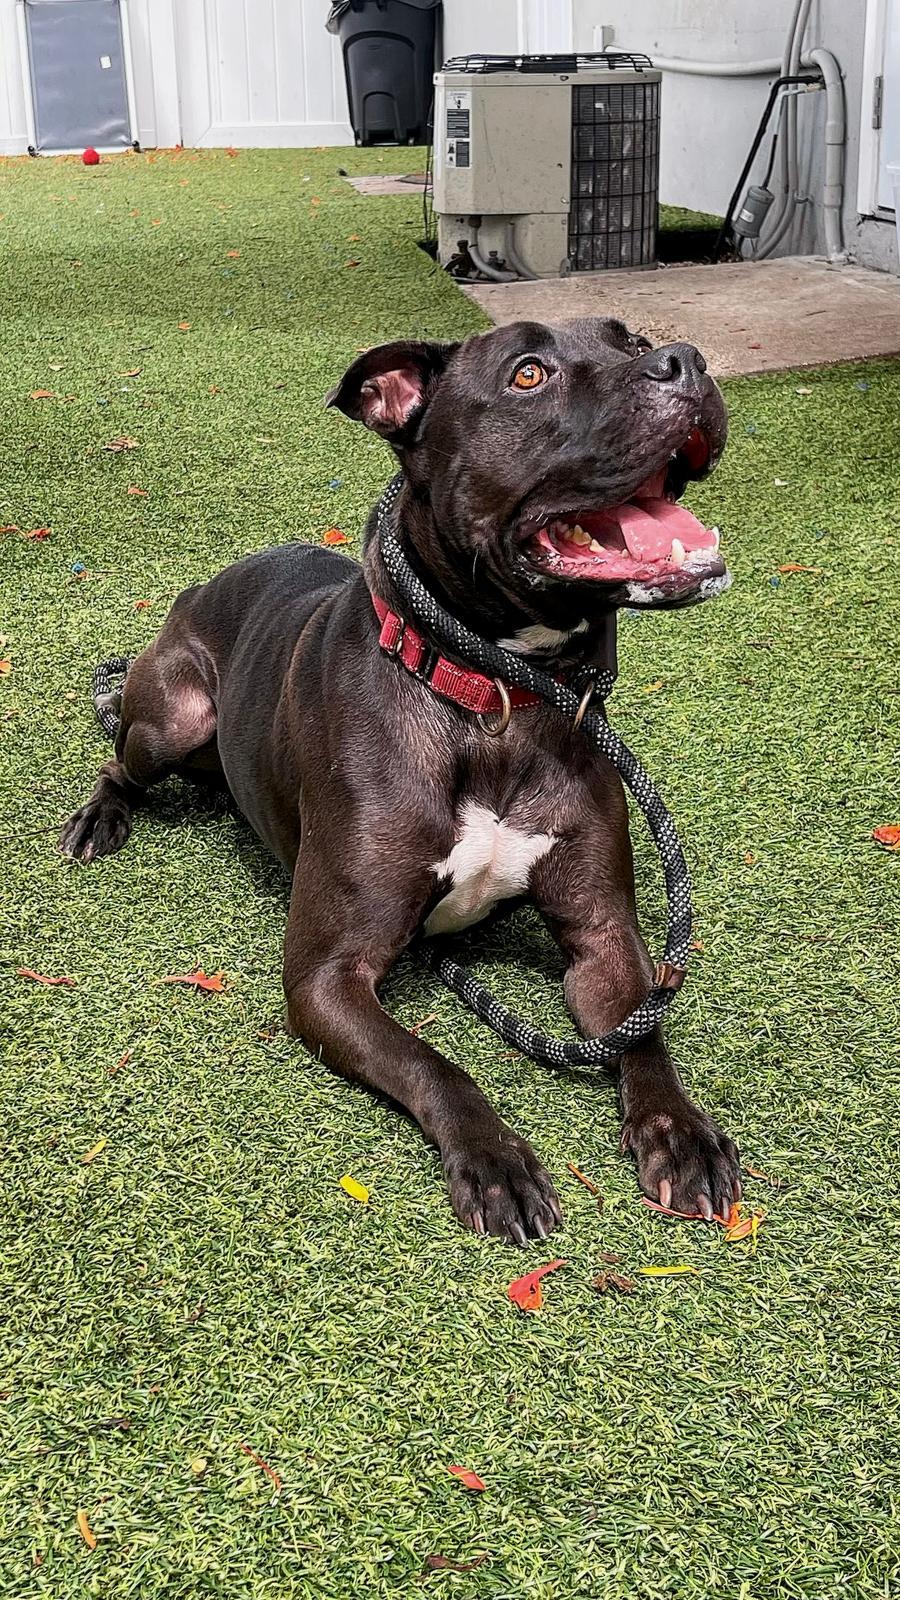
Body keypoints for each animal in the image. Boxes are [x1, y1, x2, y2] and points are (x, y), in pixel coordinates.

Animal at [61, 312, 736, 1235]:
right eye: (528, 374)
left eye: (629, 339)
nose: (687, 361)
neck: (492, 696)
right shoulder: (326, 975)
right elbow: (432, 1062)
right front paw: (494, 1159)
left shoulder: (604, 936)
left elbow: (641, 1032)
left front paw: (679, 1129)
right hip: (170, 719)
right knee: (118, 756)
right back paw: (100, 818)